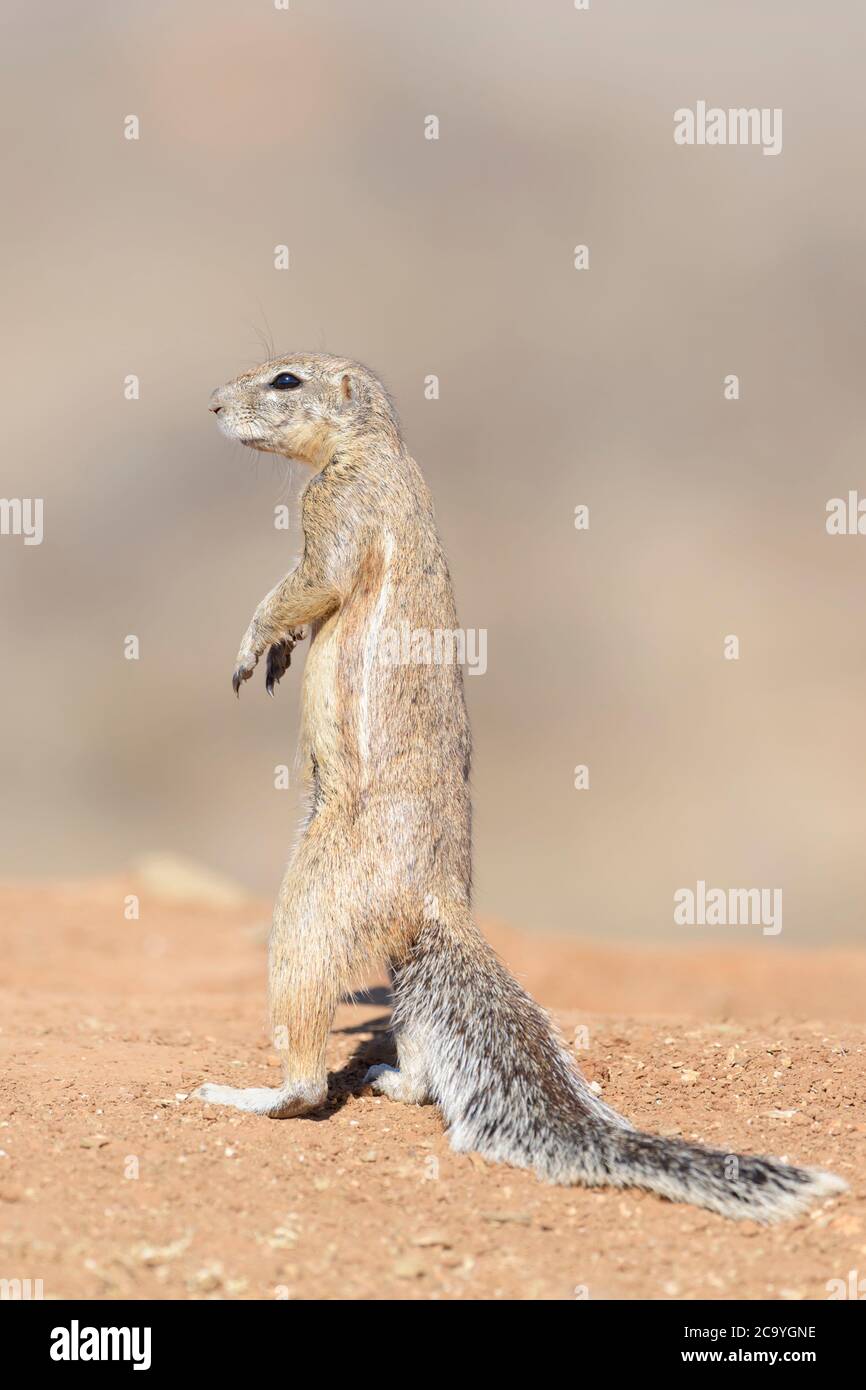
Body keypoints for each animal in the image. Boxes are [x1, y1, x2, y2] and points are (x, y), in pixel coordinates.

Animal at [195, 353, 845, 1223]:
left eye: (286, 379)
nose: (214, 403)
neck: (375, 447)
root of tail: (442, 897)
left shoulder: (335, 511)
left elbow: (310, 583)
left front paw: (254, 643)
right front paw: (274, 655)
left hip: (316, 896)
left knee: (306, 1060)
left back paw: (256, 1095)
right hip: (402, 949)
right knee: (417, 1045)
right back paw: (393, 1076)